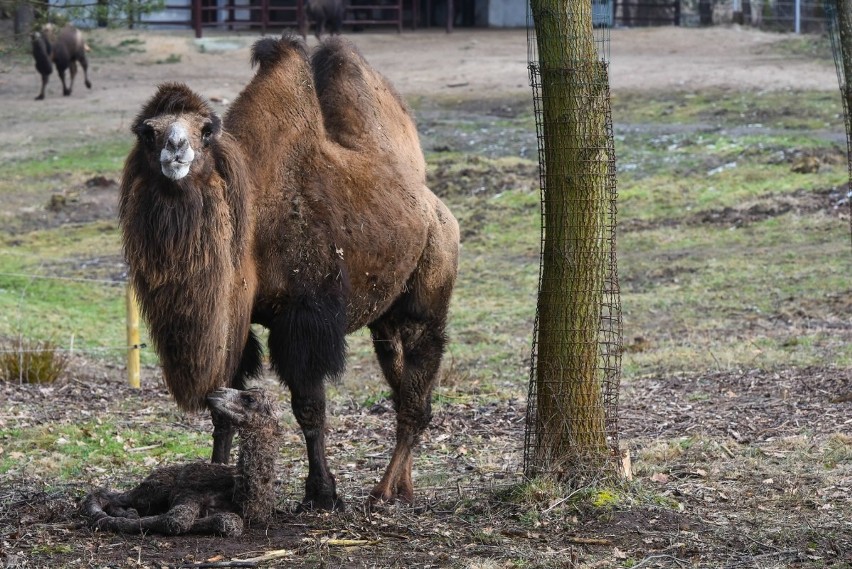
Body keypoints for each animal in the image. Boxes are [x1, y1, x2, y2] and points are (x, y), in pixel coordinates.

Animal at [81, 386, 280, 536]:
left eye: (249, 398)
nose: (216, 391)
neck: (241, 494)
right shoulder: (187, 492)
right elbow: (178, 519)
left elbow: (230, 522)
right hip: (155, 487)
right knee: (104, 494)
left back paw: (128, 512)